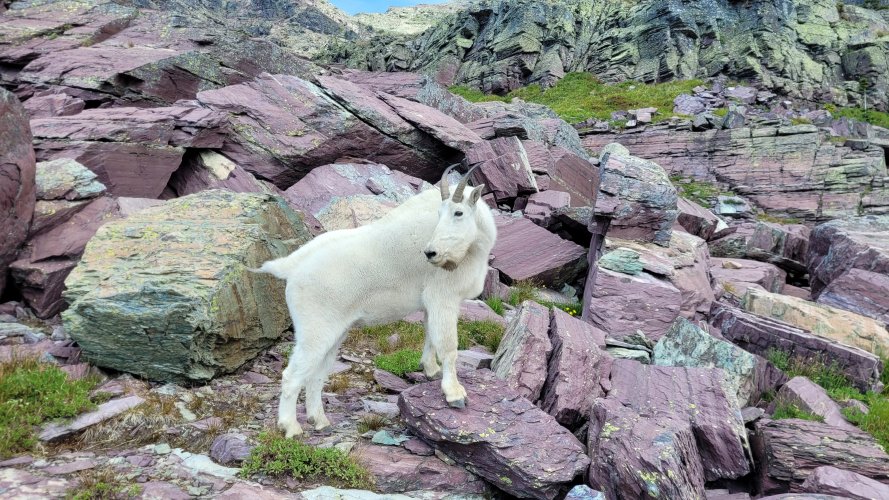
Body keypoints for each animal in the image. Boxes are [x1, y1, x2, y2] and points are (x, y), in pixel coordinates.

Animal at [253, 165, 496, 438]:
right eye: (440, 213)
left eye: (458, 212)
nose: (431, 253)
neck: (474, 247)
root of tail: (292, 267)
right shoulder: (443, 297)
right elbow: (448, 346)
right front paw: (454, 394)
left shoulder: (432, 304)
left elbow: (430, 336)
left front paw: (430, 370)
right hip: (314, 328)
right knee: (292, 375)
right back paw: (291, 427)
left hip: (334, 331)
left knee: (316, 374)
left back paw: (320, 420)